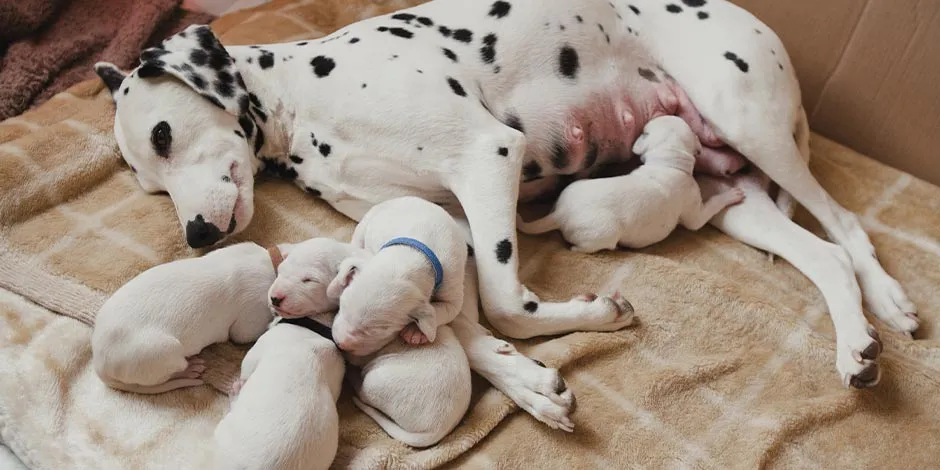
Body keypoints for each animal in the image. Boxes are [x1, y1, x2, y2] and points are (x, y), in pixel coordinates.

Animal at [328, 196, 468, 356]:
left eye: (379, 331)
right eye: (342, 305)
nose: (340, 344)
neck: (413, 254)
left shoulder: (452, 288)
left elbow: (440, 310)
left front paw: (415, 332)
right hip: (366, 222)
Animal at [516, 114, 744, 253]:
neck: (667, 162)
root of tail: (561, 215)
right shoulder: (694, 211)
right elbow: (707, 209)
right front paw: (732, 195)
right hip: (604, 234)